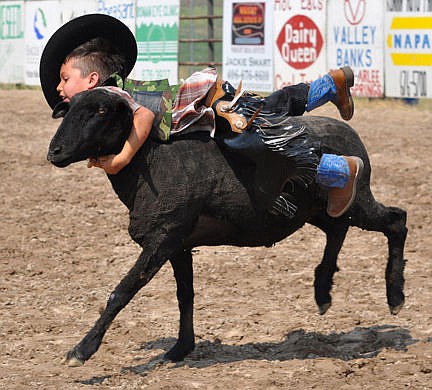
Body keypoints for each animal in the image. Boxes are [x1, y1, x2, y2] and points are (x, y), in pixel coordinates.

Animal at [47, 88, 408, 366]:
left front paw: (81, 350)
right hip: (319, 210)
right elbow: (185, 294)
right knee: (338, 230)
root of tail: (352, 137)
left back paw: (395, 296)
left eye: (101, 110)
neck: (148, 160)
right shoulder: (178, 242)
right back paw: (322, 292)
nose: (54, 152)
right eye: (69, 109)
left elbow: (122, 291)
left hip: (358, 202)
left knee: (397, 221)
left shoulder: (163, 236)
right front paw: (180, 349)